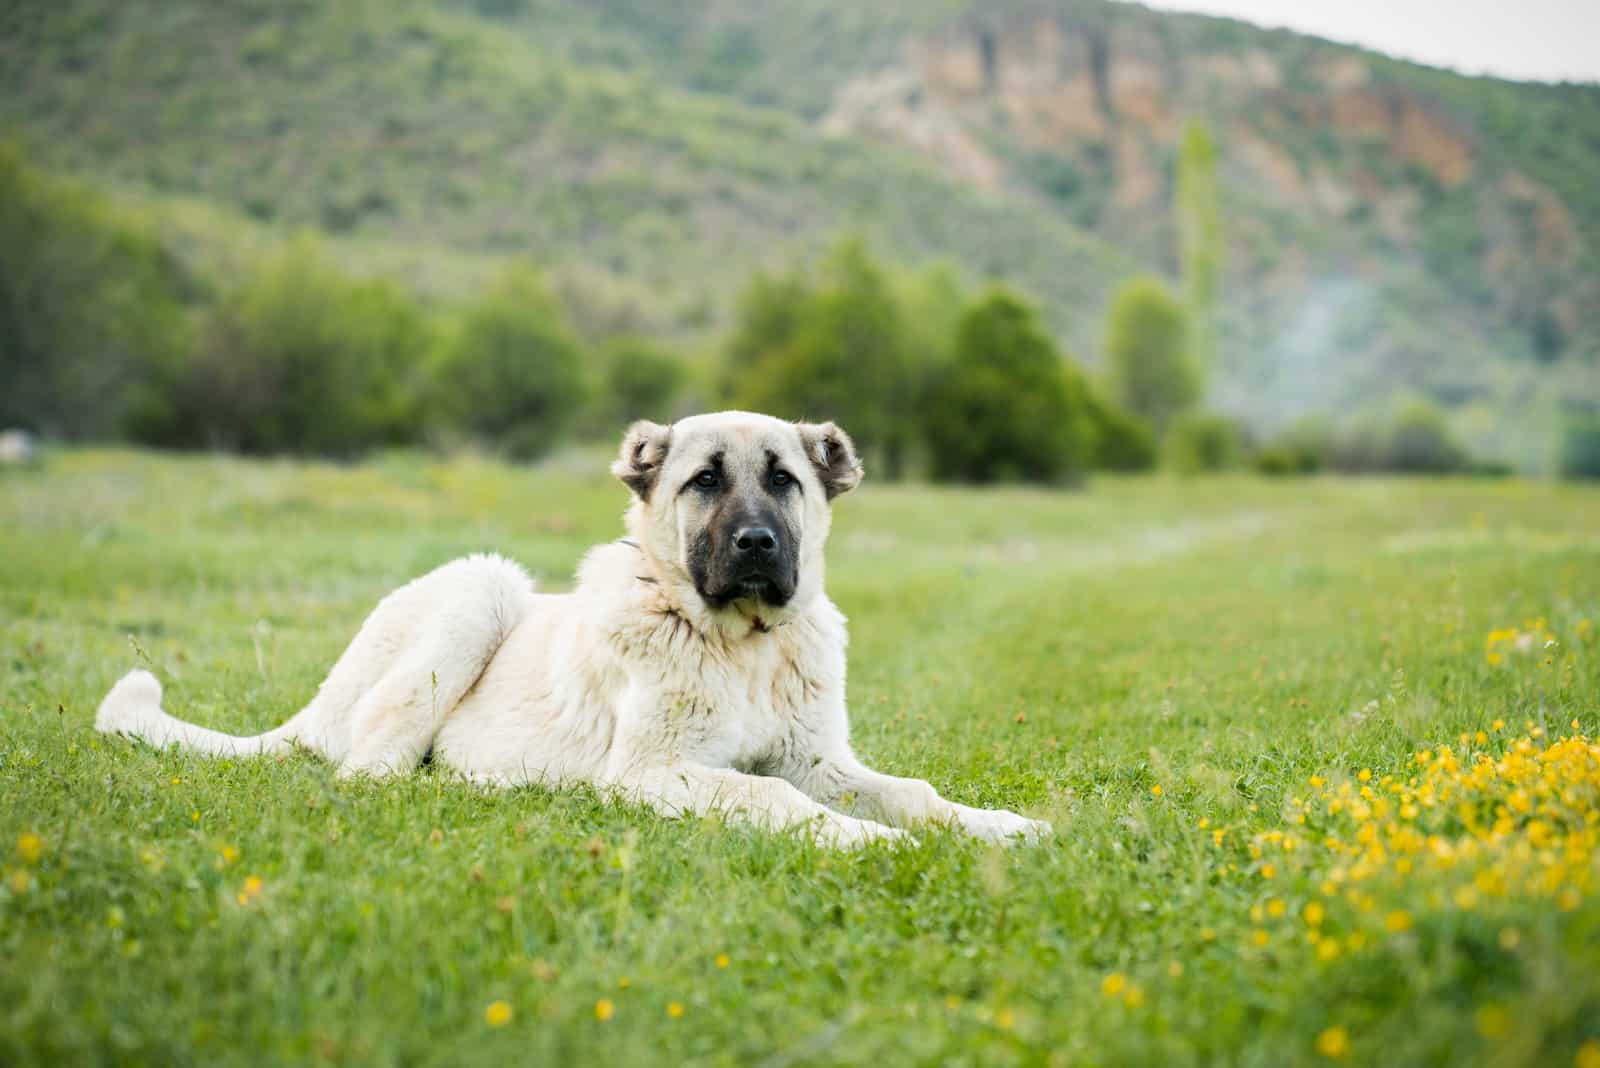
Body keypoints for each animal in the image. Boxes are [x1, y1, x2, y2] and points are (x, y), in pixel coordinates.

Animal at [96, 412, 1049, 844]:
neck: (742, 642)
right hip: (481, 588)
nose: (757, 543)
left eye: (783, 481)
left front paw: (1000, 826)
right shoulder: (654, 770)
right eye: (706, 481)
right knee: (373, 770)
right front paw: (868, 842)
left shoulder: (819, 760)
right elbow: (779, 801)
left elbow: (914, 793)